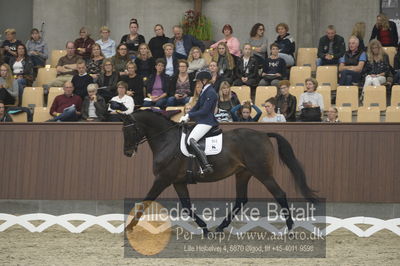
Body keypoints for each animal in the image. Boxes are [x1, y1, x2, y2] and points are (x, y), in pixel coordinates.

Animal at [120, 110, 318, 233]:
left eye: (129, 131)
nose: (127, 153)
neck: (167, 140)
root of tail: (263, 134)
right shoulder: (178, 181)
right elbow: (186, 206)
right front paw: (204, 227)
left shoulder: (163, 178)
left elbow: (146, 201)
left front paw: (129, 227)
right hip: (243, 173)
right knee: (241, 199)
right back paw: (221, 227)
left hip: (262, 173)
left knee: (279, 194)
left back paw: (290, 227)